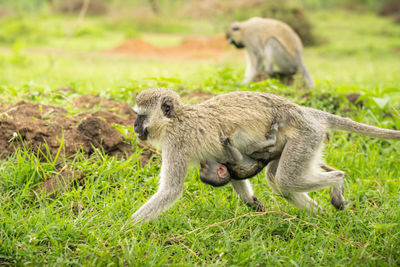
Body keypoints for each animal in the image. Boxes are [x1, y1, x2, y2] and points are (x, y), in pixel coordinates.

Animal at [134, 89, 400, 223]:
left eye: (140, 116)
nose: (135, 126)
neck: (176, 120)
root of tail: (304, 112)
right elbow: (234, 172)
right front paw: (252, 202)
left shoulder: (175, 143)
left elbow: (170, 191)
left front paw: (129, 229)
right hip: (305, 140)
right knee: (278, 180)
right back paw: (320, 218)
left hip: (306, 135)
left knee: (286, 179)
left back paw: (337, 180)